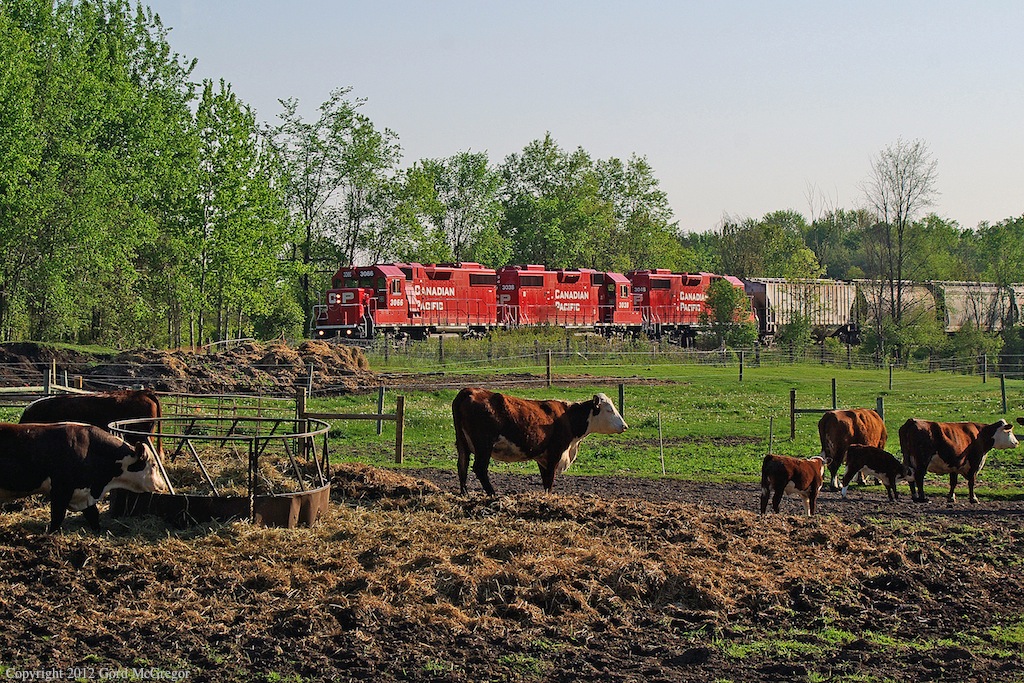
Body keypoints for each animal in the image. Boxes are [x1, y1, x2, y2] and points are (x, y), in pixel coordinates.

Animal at [0, 422, 167, 532]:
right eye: (154, 465)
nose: (163, 486)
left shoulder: (84, 493)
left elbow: (93, 515)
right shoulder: (61, 490)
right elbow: (57, 517)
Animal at [452, 388, 627, 495]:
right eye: (609, 410)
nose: (624, 426)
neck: (568, 418)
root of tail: (470, 391)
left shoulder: (543, 458)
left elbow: (545, 481)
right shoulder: (554, 454)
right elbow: (549, 481)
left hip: (462, 444)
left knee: (462, 466)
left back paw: (465, 494)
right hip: (484, 446)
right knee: (479, 469)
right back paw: (493, 494)